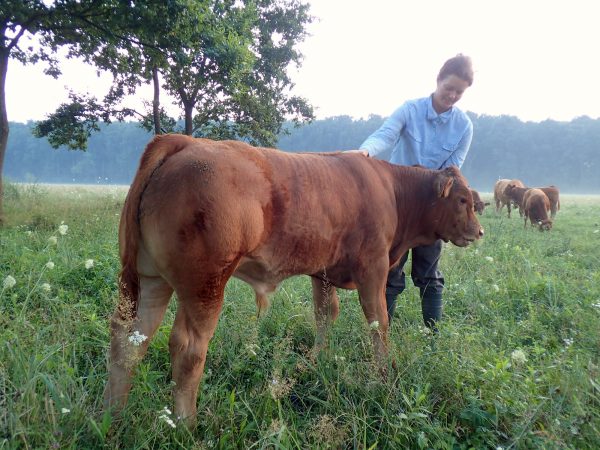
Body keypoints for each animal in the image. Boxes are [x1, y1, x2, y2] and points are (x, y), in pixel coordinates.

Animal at [105, 135, 486, 424]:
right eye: (462, 199)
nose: (479, 231)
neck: (392, 190)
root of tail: (183, 141)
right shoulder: (373, 269)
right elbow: (379, 322)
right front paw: (383, 376)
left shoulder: (323, 272)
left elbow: (325, 314)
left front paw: (316, 361)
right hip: (205, 284)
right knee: (187, 348)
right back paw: (187, 424)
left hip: (150, 279)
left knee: (130, 340)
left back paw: (111, 415)